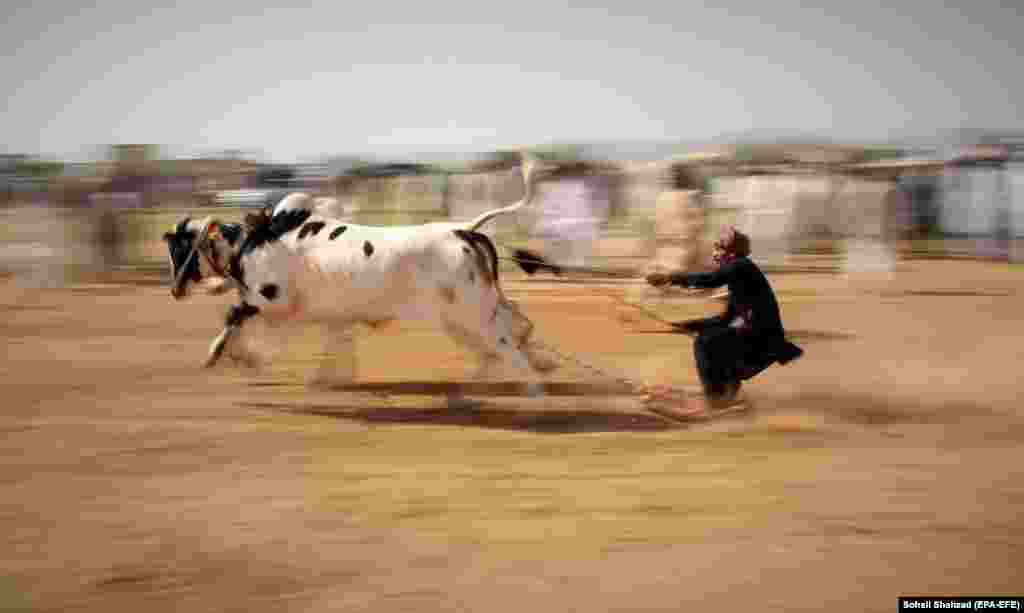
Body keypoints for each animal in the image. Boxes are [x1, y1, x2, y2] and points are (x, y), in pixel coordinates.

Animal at [162, 157, 557, 407]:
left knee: (504, 344)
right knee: (511, 333)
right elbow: (333, 345)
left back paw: (533, 396)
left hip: (469, 313)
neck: (259, 239)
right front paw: (321, 379)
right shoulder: (325, 315)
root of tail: (464, 230)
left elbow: (233, 318)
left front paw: (227, 356)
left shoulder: (270, 300)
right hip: (466, 314)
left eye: (180, 248)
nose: (174, 289)